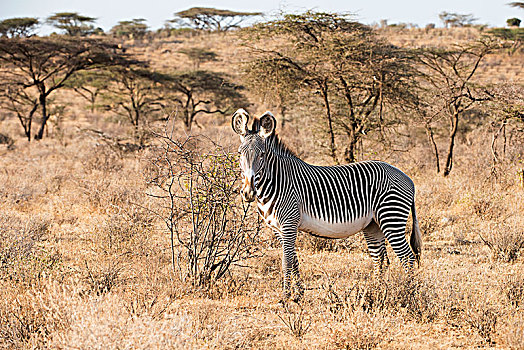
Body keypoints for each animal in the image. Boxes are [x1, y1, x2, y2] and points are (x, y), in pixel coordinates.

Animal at [232, 109, 422, 300]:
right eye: (240, 153)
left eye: (262, 154)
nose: (248, 193)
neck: (277, 180)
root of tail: (408, 178)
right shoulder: (277, 228)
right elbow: (294, 260)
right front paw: (299, 295)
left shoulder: (289, 224)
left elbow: (286, 261)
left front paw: (286, 297)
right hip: (373, 225)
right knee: (381, 259)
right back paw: (377, 293)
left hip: (391, 218)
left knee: (407, 257)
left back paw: (409, 293)